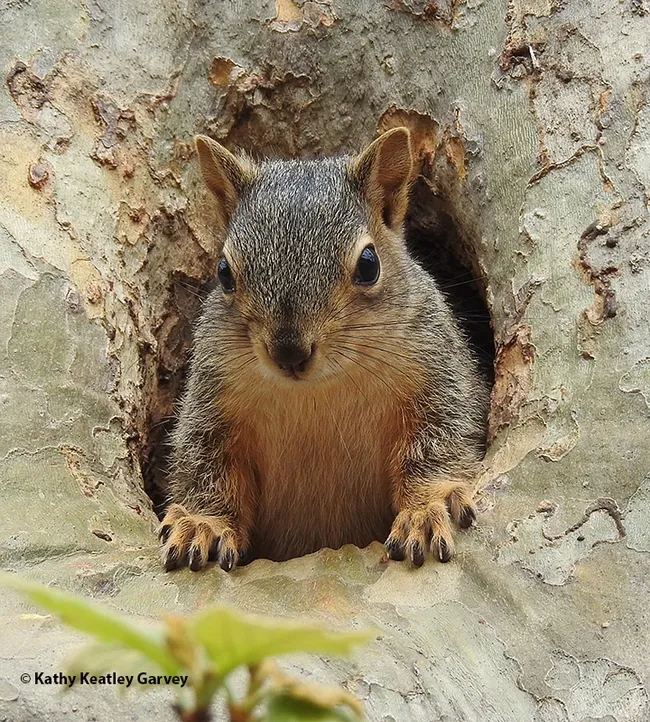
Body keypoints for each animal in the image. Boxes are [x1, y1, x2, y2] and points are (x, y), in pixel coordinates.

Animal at [158, 127, 489, 572]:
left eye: (369, 264)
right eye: (224, 272)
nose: (289, 354)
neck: (320, 389)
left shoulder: (438, 378)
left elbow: (440, 440)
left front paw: (425, 509)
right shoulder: (214, 403)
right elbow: (205, 464)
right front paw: (202, 523)